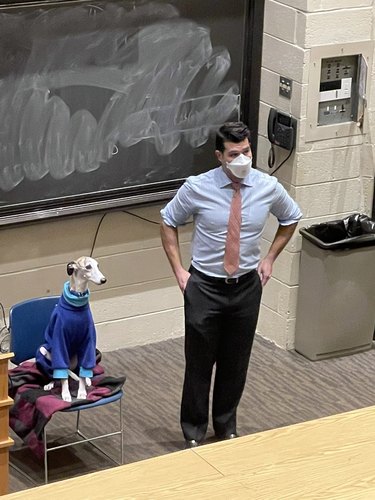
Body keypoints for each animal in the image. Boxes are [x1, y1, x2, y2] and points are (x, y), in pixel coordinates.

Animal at [36, 258, 106, 402]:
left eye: (98, 265)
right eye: (88, 266)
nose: (104, 280)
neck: (77, 302)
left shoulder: (88, 341)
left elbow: (83, 373)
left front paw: (82, 391)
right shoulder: (59, 339)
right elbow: (63, 377)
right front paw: (66, 394)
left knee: (79, 371)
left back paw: (87, 379)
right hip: (42, 350)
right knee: (57, 372)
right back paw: (50, 383)